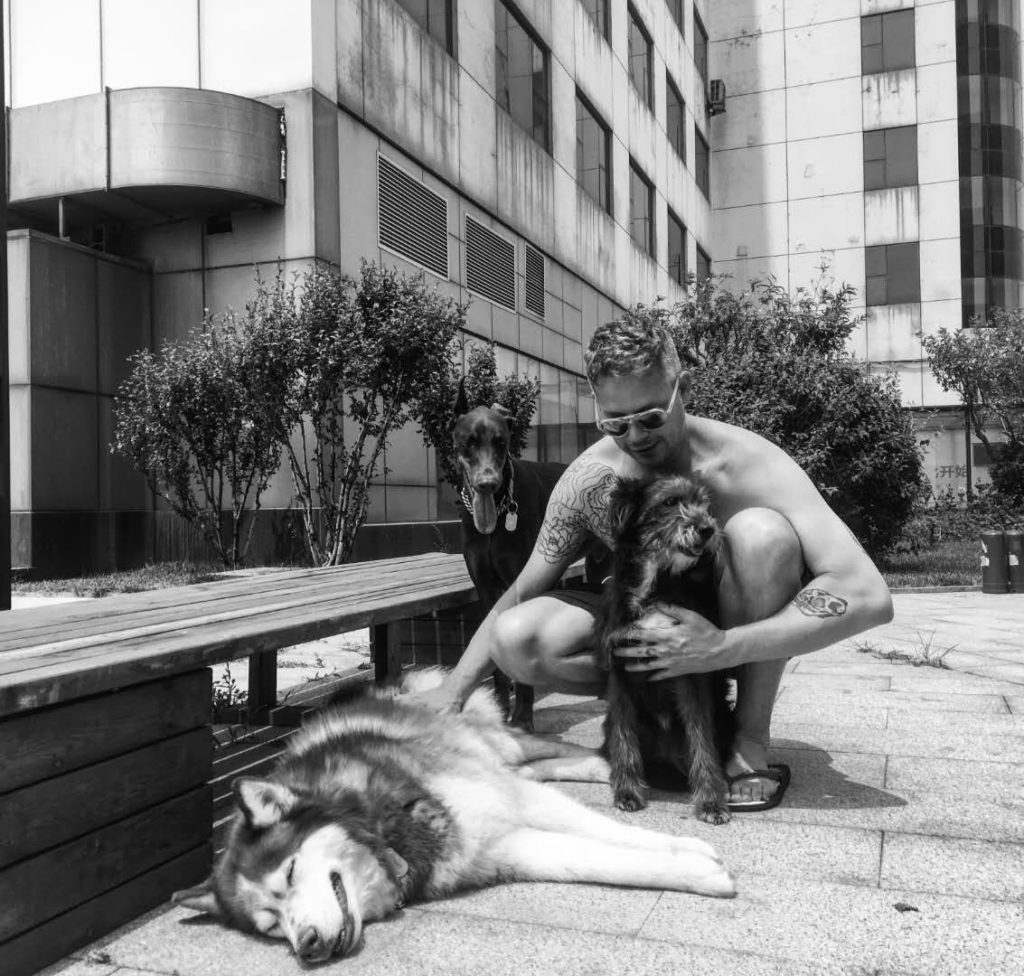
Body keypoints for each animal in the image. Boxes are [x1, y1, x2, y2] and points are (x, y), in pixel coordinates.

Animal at [172, 670, 735, 964]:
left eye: (289, 873)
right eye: (271, 925)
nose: (307, 946)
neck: (382, 829)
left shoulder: (507, 801)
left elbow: (608, 833)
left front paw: (693, 854)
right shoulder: (501, 846)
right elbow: (592, 859)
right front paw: (694, 869)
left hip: (499, 744)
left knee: (551, 751)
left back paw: (614, 770)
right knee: (537, 769)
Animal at [453, 385, 570, 731]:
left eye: (501, 442)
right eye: (469, 442)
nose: (487, 483)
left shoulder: (520, 583)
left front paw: (522, 718)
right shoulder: (486, 588)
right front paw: (499, 708)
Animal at [597, 474, 734, 825]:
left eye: (703, 504)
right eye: (670, 502)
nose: (707, 529)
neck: (654, 585)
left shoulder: (691, 668)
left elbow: (701, 739)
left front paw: (710, 800)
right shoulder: (618, 667)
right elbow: (624, 737)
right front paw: (627, 791)